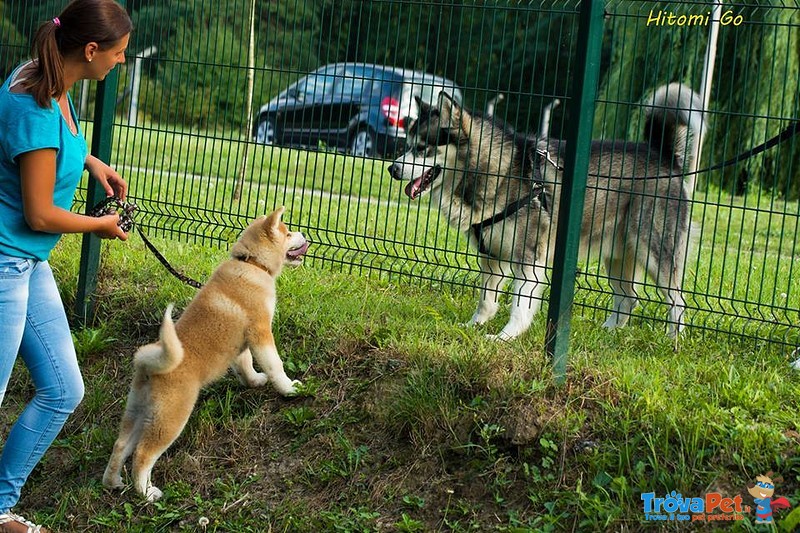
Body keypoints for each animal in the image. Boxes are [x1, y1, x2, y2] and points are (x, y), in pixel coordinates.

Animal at [102, 207, 306, 498]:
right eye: (288, 233)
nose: (304, 234)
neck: (251, 264)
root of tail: (150, 365)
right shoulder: (260, 332)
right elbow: (274, 364)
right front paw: (289, 388)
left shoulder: (241, 344)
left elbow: (245, 366)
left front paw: (255, 381)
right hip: (171, 418)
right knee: (142, 454)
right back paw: (147, 493)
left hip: (140, 411)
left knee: (120, 445)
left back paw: (113, 482)